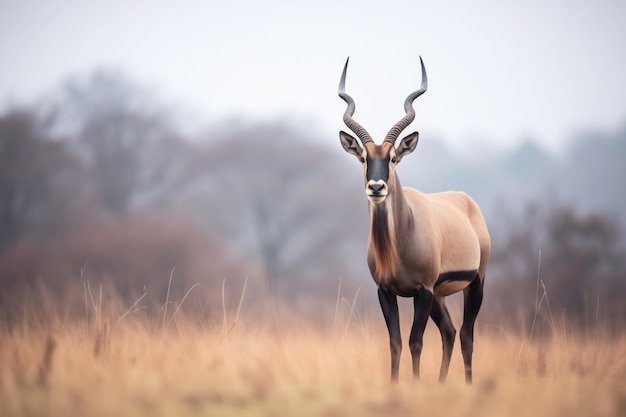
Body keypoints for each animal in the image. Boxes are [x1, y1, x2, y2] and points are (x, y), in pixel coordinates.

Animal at [336, 57, 488, 382]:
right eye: (364, 158)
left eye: (393, 158)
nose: (376, 187)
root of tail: (466, 202)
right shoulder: (386, 292)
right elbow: (395, 342)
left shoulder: (422, 291)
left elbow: (415, 341)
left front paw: (415, 383)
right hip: (440, 297)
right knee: (449, 331)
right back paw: (441, 383)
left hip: (474, 285)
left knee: (466, 335)